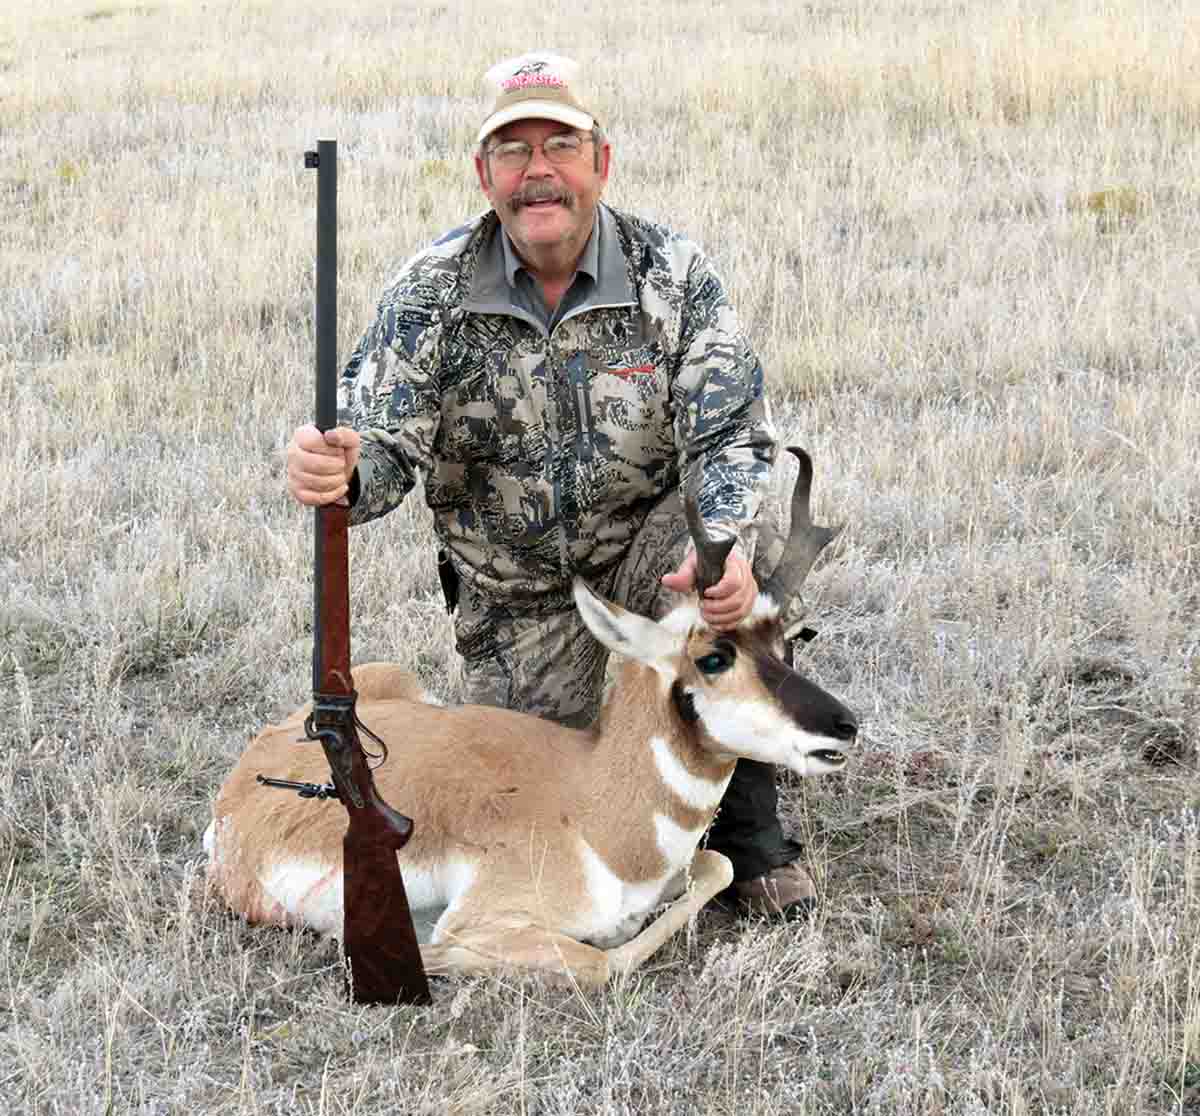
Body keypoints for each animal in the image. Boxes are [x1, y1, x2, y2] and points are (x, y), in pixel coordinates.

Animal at [204, 448, 854, 979]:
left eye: (790, 639)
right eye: (713, 656)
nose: (845, 727)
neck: (595, 806)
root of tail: (244, 778)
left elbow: (717, 863)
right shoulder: (482, 922)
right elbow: (602, 960)